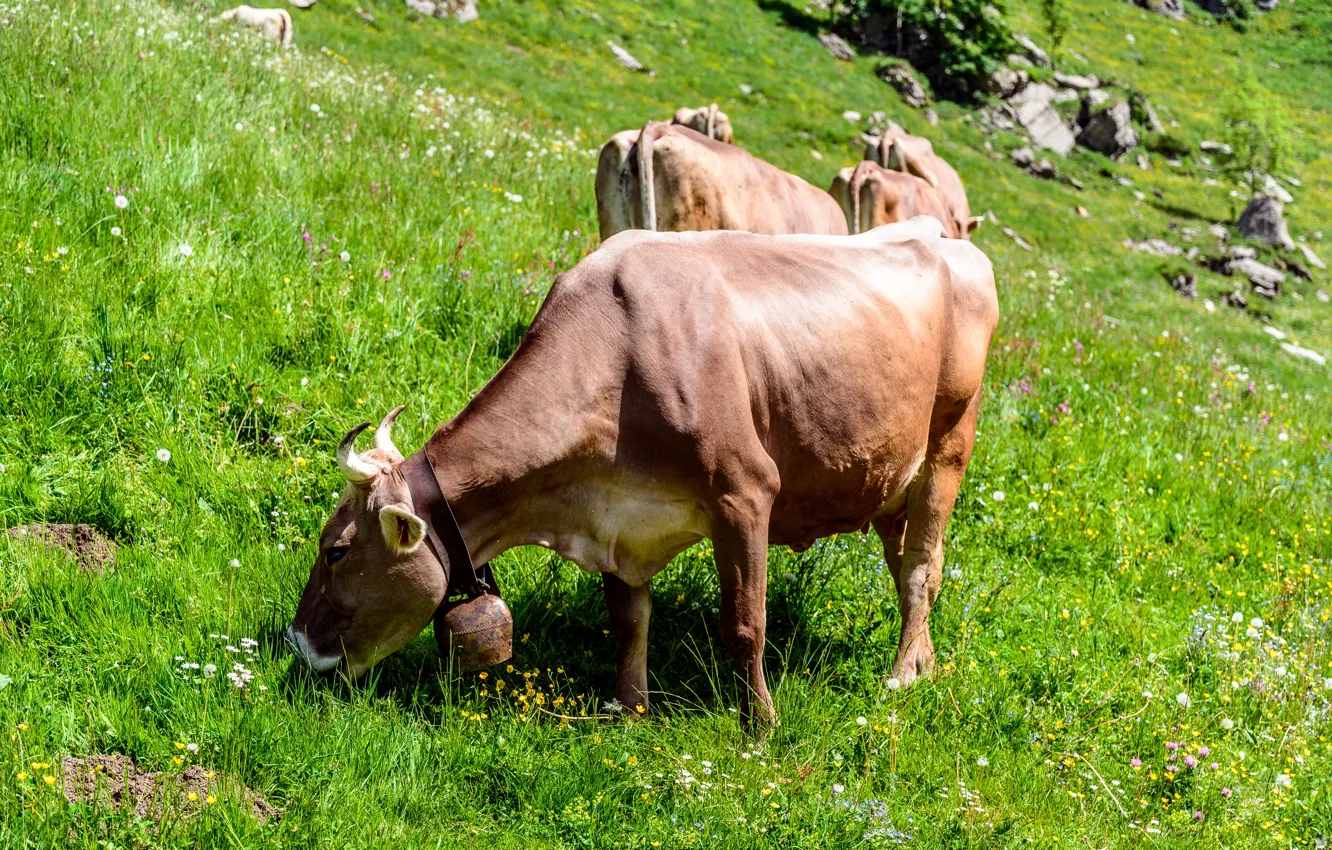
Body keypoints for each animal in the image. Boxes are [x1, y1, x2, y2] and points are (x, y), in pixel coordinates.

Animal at [291, 218, 1001, 724]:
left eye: (337, 550)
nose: (297, 644)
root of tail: (946, 235)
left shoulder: (745, 492)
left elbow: (745, 623)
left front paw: (760, 726)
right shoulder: (617, 518)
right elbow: (628, 618)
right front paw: (628, 706)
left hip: (949, 446)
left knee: (922, 566)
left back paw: (902, 673)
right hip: (886, 478)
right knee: (913, 564)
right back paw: (925, 662)